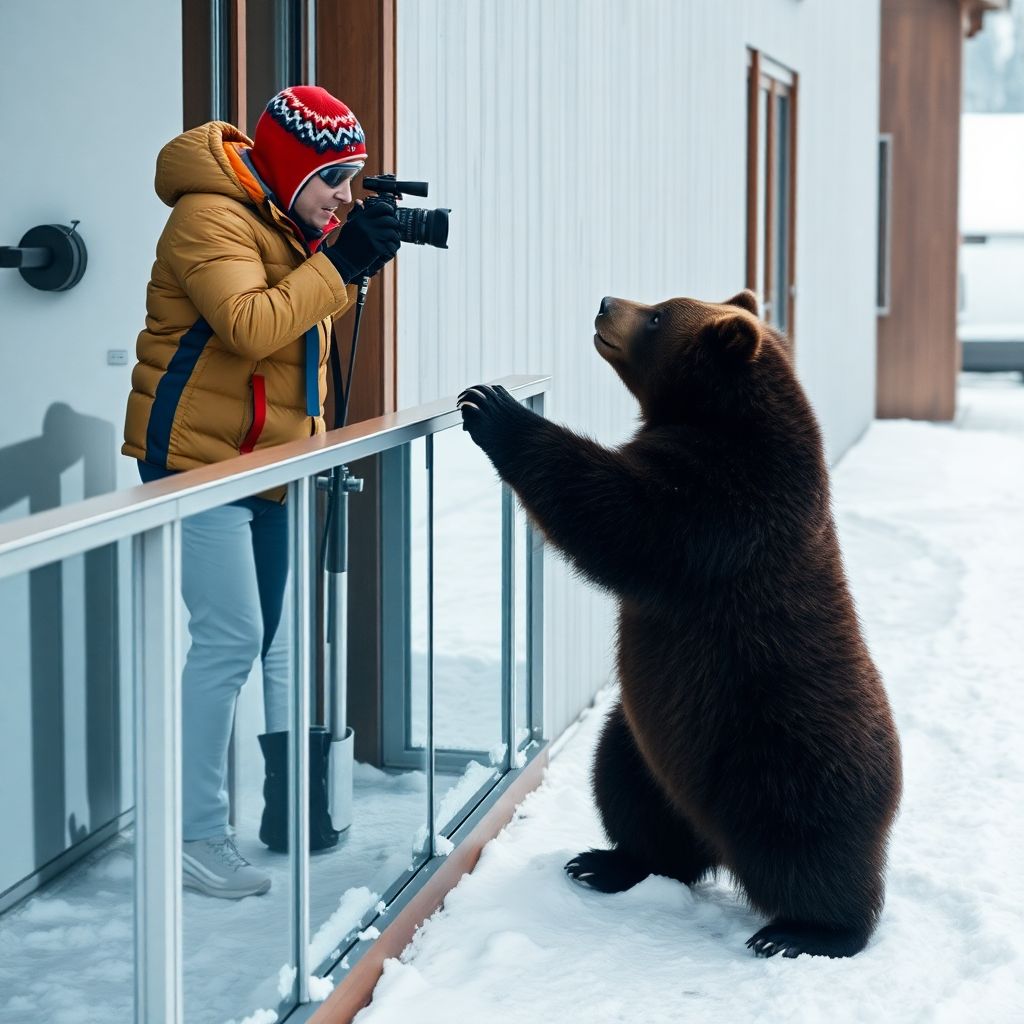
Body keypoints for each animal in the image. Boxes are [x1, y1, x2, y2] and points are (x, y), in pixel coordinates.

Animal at [457, 289, 902, 959]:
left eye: (659, 315)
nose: (605, 302)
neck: (717, 415)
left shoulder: (729, 504)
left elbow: (618, 509)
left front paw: (492, 408)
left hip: (786, 756)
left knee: (808, 852)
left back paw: (804, 932)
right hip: (646, 744)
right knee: (628, 792)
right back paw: (606, 862)